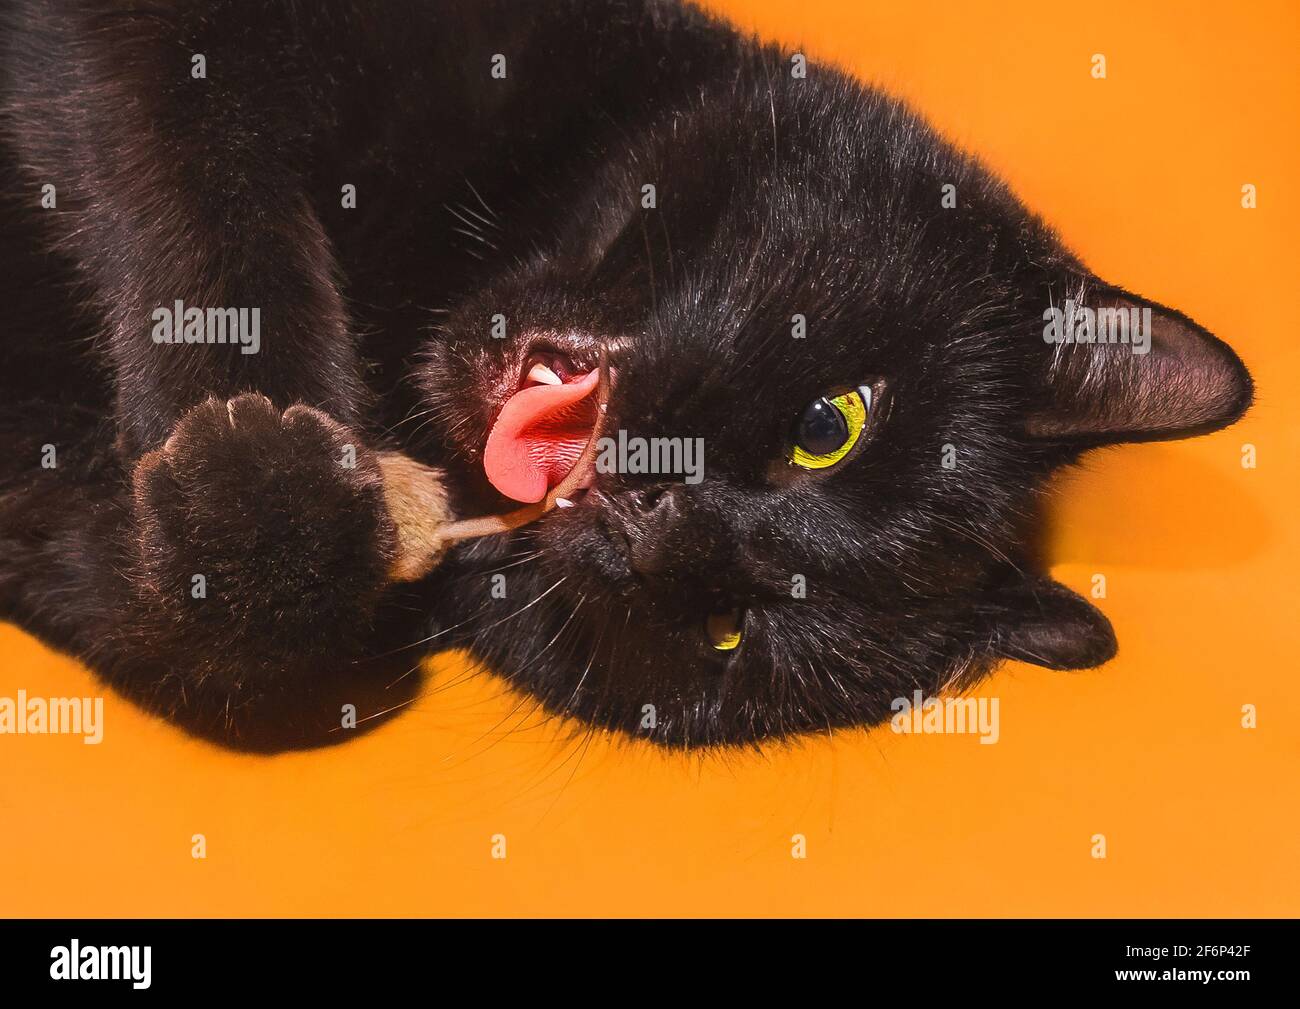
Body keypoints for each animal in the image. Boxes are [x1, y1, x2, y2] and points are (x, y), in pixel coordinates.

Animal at [0, 0, 1248, 748]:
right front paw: (271, 471)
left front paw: (259, 520)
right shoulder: (169, 42)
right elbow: (200, 182)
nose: (652, 512)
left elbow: (228, 651)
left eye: (729, 629)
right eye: (830, 424)